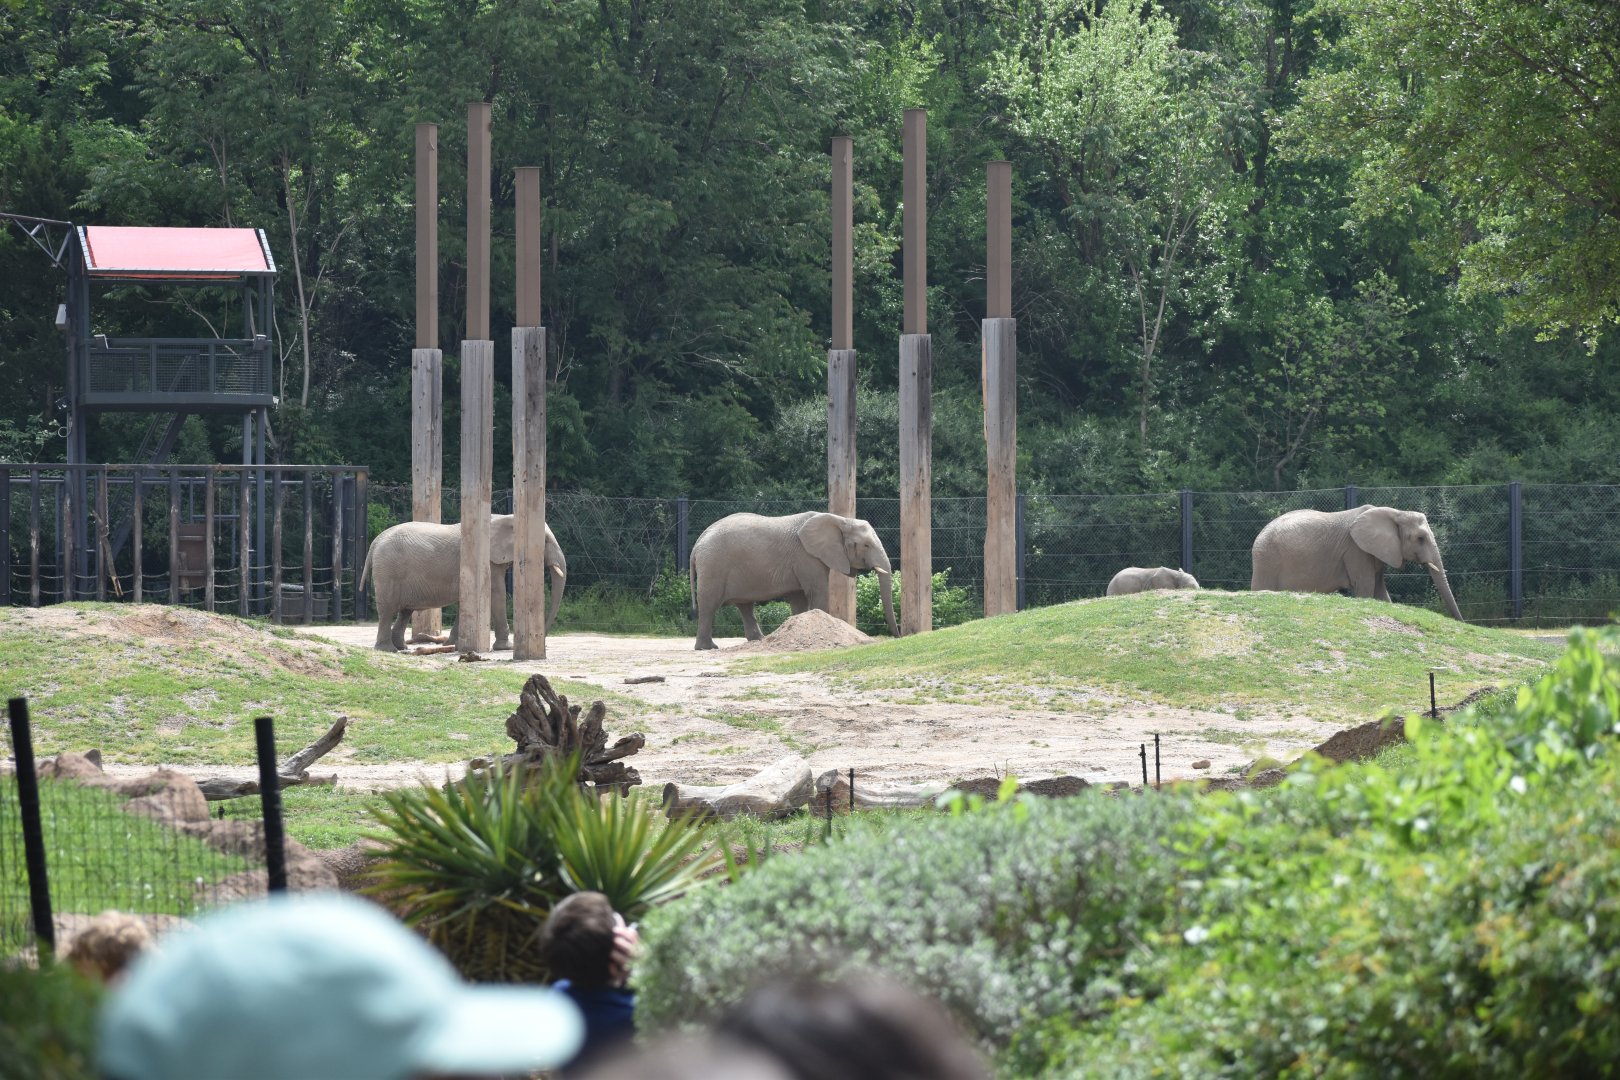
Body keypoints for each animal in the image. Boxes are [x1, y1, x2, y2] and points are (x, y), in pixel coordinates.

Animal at [359, 515, 566, 651]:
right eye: (545, 540)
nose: (544, 641)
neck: (505, 517)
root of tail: (375, 543)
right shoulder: (488, 560)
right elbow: (496, 594)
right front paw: (506, 647)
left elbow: (464, 601)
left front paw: (453, 644)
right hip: (388, 571)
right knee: (387, 610)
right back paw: (387, 649)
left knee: (405, 611)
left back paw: (402, 648)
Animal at [689, 511, 898, 650]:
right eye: (866, 545)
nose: (898, 637)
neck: (840, 520)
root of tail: (698, 543)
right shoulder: (807, 557)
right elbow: (817, 592)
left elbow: (799, 599)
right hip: (713, 566)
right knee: (709, 605)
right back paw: (708, 648)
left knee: (745, 605)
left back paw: (759, 640)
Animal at [1250, 505, 1463, 620]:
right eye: (1420, 538)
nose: (1461, 621)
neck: (1395, 512)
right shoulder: (1355, 550)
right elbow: (1366, 588)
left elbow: (1380, 591)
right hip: (1268, 561)